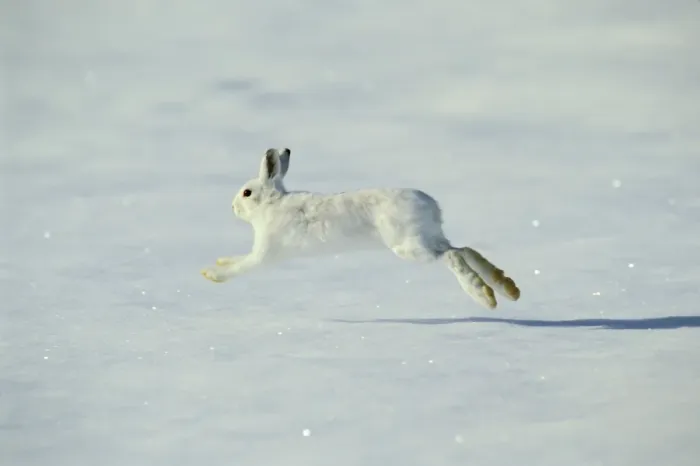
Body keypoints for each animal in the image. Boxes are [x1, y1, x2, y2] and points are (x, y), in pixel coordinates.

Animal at [201, 148, 520, 309]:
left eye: (246, 193)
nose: (232, 207)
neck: (272, 203)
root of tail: (431, 206)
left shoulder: (264, 253)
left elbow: (243, 266)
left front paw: (211, 274)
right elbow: (236, 258)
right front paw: (218, 262)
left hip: (409, 246)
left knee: (452, 255)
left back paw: (483, 295)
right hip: (428, 239)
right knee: (463, 249)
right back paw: (506, 288)